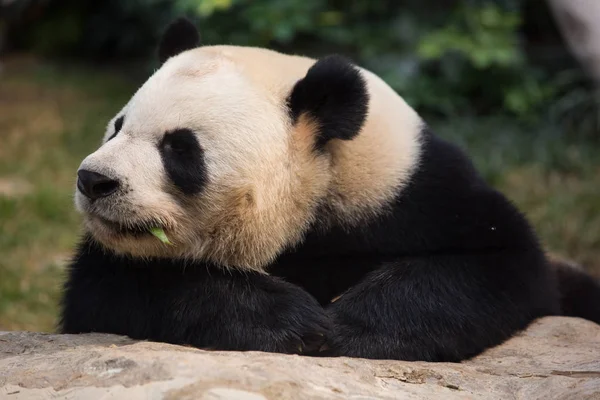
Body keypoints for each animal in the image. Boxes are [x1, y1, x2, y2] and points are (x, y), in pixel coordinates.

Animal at [59, 19, 600, 362]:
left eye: (179, 148)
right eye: (117, 128)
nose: (94, 180)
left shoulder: (412, 194)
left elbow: (495, 262)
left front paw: (347, 328)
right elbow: (115, 285)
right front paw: (290, 321)